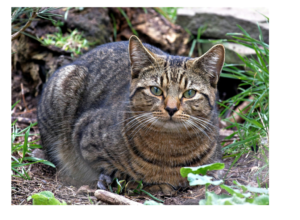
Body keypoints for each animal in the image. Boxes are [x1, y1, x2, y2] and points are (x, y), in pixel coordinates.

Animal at [37, 35, 225, 195]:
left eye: (189, 93)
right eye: (155, 90)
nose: (171, 108)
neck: (169, 148)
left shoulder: (214, 169)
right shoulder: (86, 140)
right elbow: (120, 173)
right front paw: (154, 184)